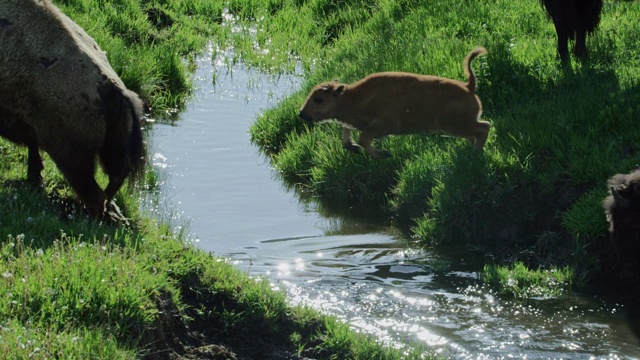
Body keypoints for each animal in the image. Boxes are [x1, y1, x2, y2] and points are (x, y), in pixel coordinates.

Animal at [300, 46, 490, 159]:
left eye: (318, 99)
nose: (301, 113)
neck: (352, 97)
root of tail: (469, 86)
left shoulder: (383, 126)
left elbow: (363, 138)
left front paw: (383, 154)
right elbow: (348, 136)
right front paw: (356, 148)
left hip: (455, 126)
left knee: (484, 127)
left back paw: (475, 154)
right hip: (456, 128)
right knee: (477, 132)